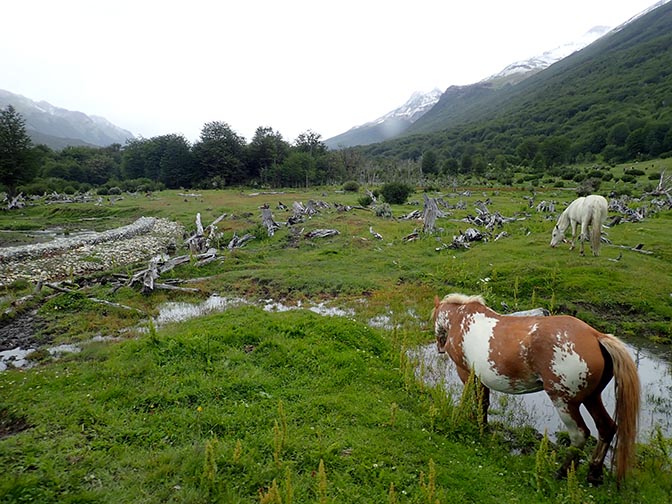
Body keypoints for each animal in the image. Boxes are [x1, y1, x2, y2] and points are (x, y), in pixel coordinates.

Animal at [432, 293, 640, 485]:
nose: (440, 348)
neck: (460, 319)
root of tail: (596, 336)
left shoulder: (466, 372)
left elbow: (472, 400)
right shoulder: (481, 378)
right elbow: (483, 404)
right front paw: (482, 427)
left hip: (564, 401)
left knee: (580, 435)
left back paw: (561, 472)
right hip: (592, 397)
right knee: (606, 428)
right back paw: (594, 473)